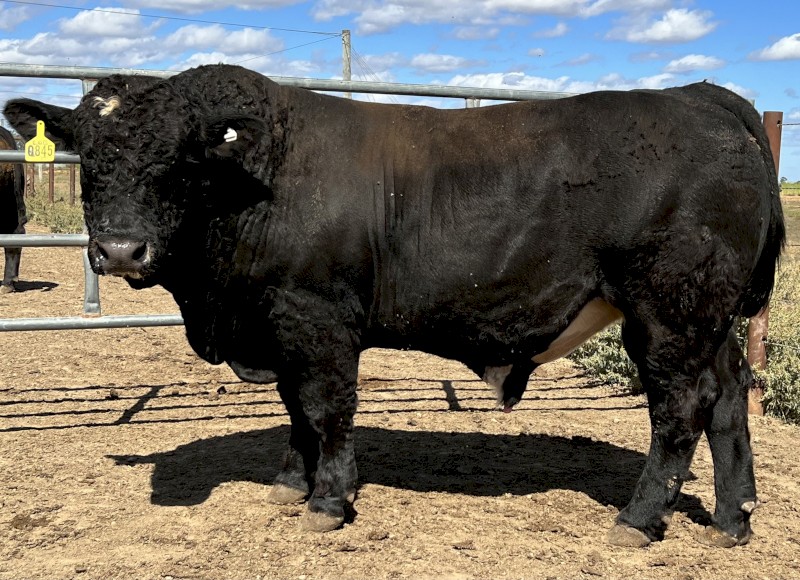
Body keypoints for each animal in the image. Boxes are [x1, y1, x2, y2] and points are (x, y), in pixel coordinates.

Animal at [4, 64, 784, 547]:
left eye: (180, 160)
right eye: (90, 158)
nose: (121, 250)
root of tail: (697, 96)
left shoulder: (318, 318)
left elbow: (326, 408)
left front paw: (327, 501)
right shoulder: (281, 325)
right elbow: (295, 409)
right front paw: (290, 484)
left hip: (668, 313)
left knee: (680, 408)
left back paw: (639, 517)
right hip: (710, 318)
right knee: (728, 401)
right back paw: (731, 520)